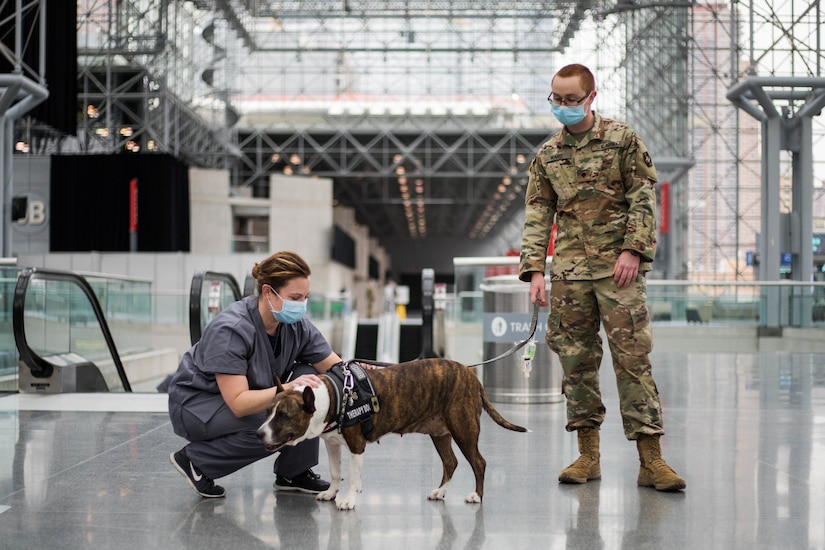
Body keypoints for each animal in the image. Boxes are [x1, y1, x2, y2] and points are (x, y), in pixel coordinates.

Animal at [258, 360, 528, 512]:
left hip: (464, 428)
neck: (335, 395)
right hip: (440, 433)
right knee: (451, 462)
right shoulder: (332, 443)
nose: (259, 433)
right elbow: (336, 472)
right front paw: (332, 492)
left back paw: (477, 496)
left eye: (283, 415)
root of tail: (471, 375)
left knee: (478, 462)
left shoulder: (356, 446)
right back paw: (440, 492)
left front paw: (348, 500)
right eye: (269, 411)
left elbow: (353, 478)